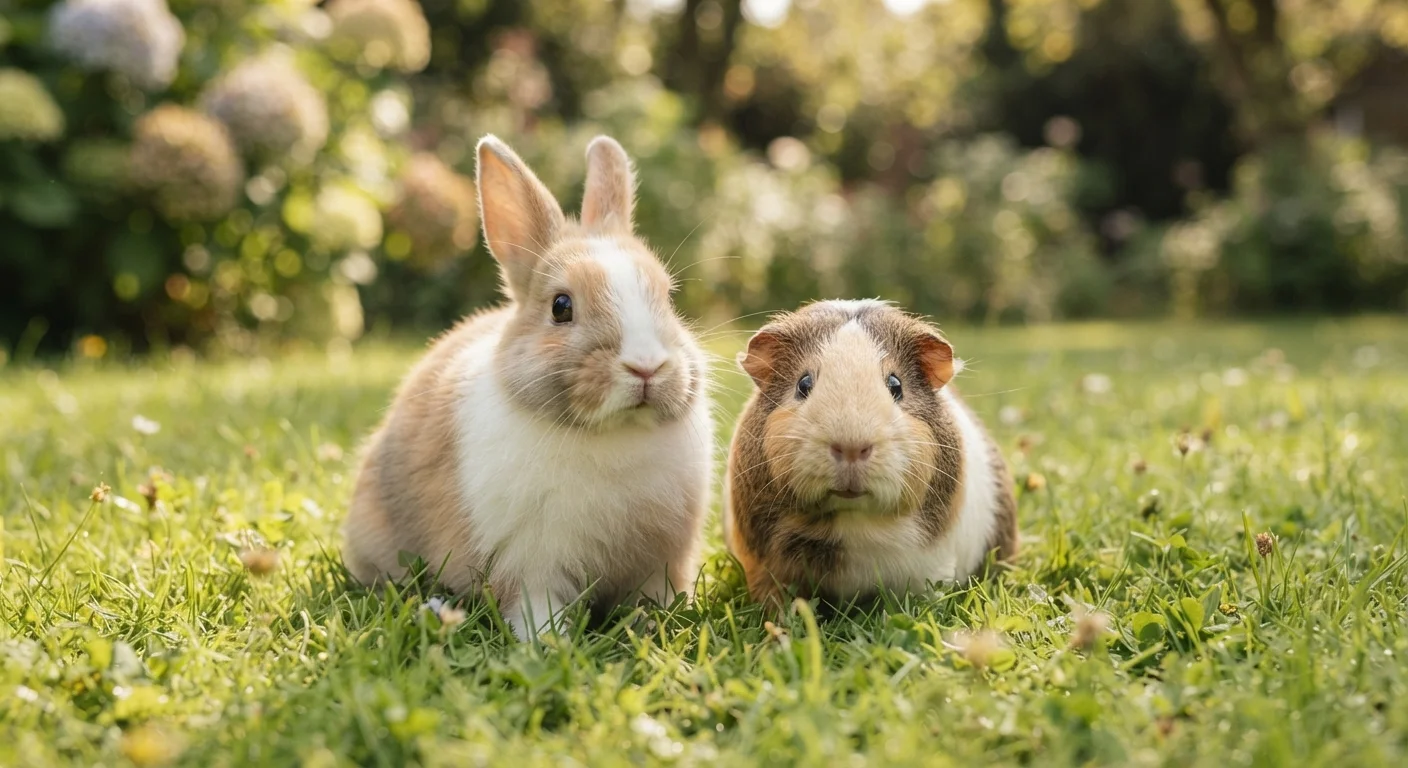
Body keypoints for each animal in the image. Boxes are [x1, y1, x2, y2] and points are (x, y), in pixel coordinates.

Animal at [343, 135, 714, 639]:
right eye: (561, 306)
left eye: (668, 299)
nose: (646, 367)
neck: (612, 434)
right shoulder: (532, 566)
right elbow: (537, 608)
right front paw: (549, 643)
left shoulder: (661, 562)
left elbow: (656, 597)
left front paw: (657, 627)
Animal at [723, 299, 1017, 610]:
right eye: (803, 384)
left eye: (895, 385)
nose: (851, 447)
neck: (849, 524)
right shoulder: (765, 569)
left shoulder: (932, 569)